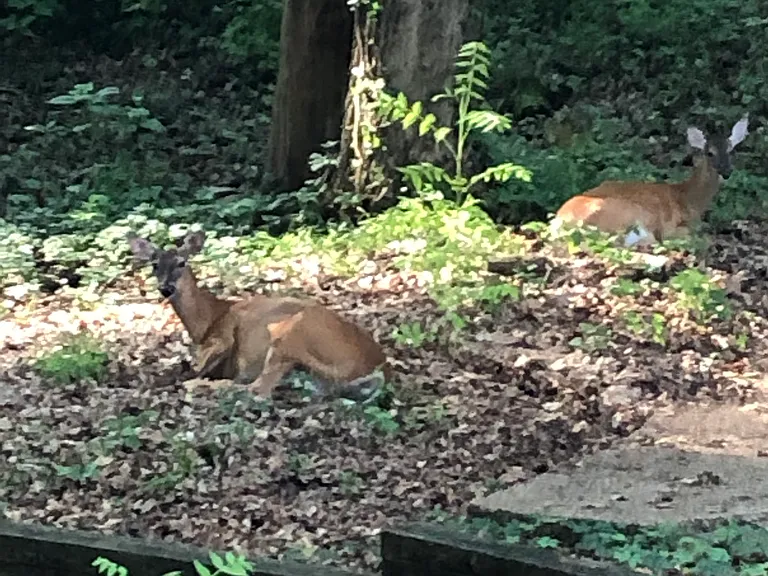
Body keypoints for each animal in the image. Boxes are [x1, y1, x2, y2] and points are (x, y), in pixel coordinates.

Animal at [127, 230, 391, 401]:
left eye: (182, 262)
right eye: (154, 265)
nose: (166, 288)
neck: (209, 318)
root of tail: (378, 368)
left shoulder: (223, 337)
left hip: (292, 333)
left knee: (258, 390)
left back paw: (198, 387)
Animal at [551, 115, 750, 247]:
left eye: (731, 150)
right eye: (710, 153)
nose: (727, 172)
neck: (688, 198)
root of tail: (562, 224)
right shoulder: (673, 226)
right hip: (628, 214)